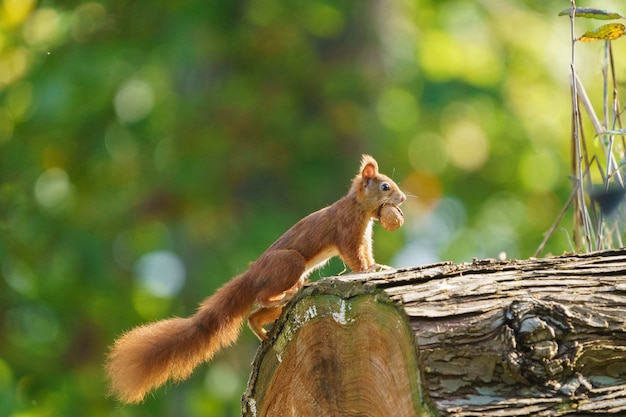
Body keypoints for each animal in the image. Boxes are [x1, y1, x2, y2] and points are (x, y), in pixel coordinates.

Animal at [103, 154, 404, 402]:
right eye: (385, 186)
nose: (402, 199)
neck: (358, 207)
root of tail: (252, 274)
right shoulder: (347, 231)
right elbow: (354, 257)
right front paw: (366, 271)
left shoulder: (364, 238)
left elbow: (366, 254)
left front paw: (377, 265)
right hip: (289, 264)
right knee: (262, 297)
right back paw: (282, 296)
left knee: (254, 314)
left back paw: (266, 330)